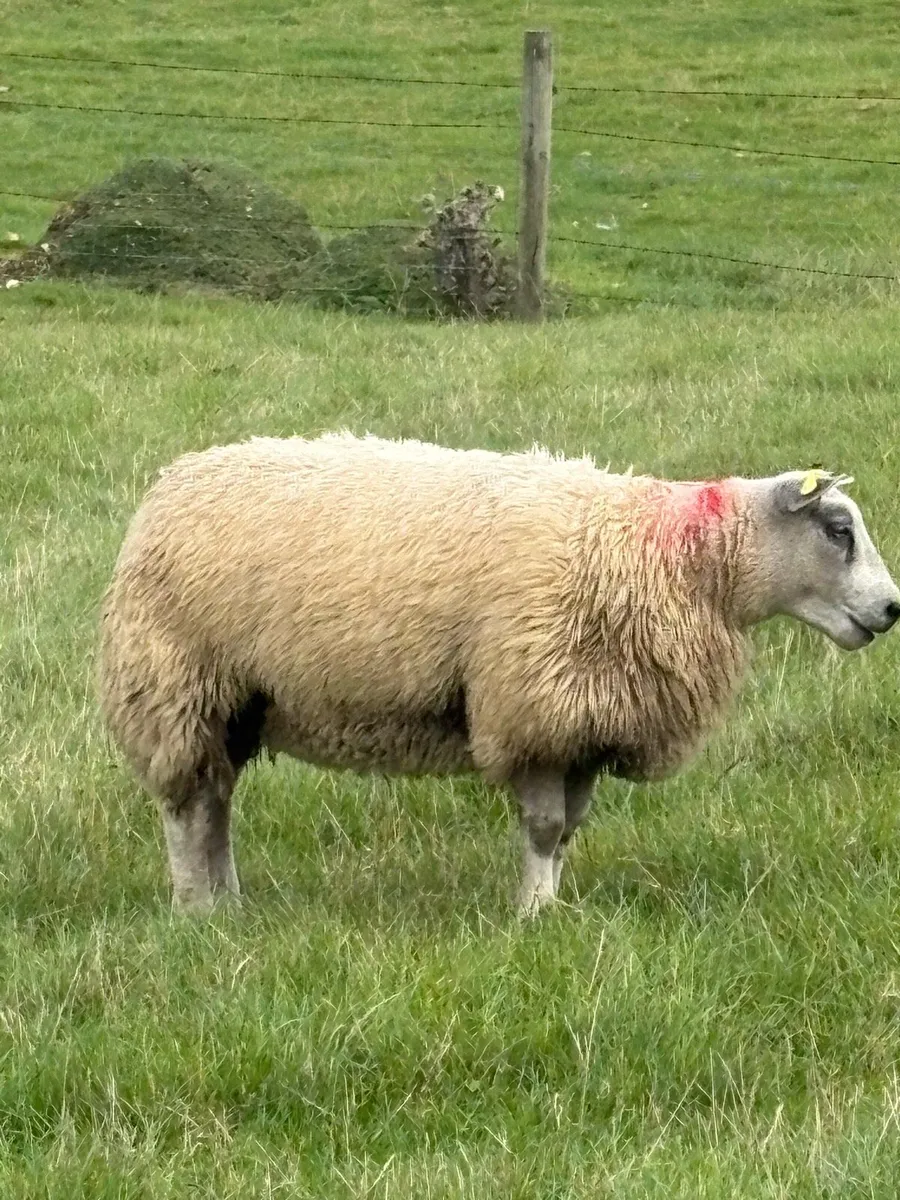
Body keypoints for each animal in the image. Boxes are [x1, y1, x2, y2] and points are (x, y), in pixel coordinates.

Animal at [96, 434, 900, 917]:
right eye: (838, 530)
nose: (893, 609)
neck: (669, 558)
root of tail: (169, 483)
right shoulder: (534, 705)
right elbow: (544, 827)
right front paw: (533, 917)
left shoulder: (587, 717)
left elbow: (569, 828)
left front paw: (555, 907)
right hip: (175, 678)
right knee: (185, 806)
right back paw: (193, 907)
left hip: (238, 701)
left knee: (216, 801)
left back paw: (229, 901)